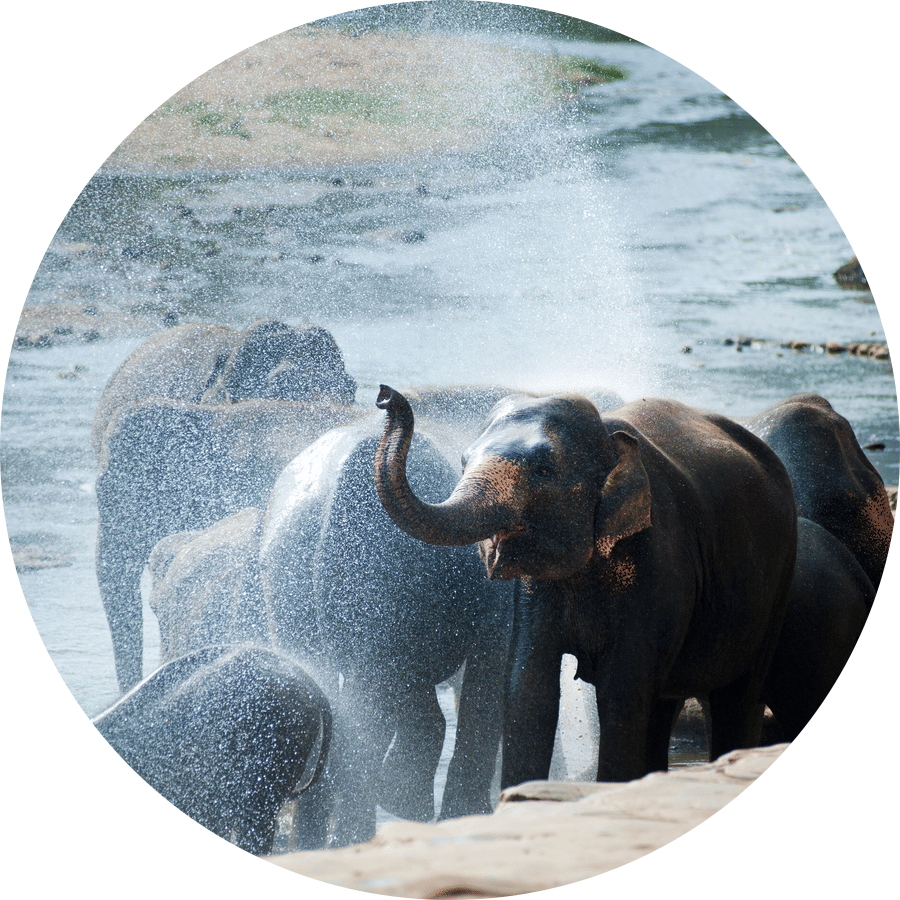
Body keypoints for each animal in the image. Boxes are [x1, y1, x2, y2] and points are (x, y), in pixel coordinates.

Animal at [374, 386, 798, 785]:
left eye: (543, 470)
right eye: (463, 462)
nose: (384, 395)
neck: (608, 433)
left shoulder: (660, 561)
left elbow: (621, 692)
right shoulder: (536, 591)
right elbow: (529, 689)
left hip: (779, 580)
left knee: (737, 698)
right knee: (665, 705)